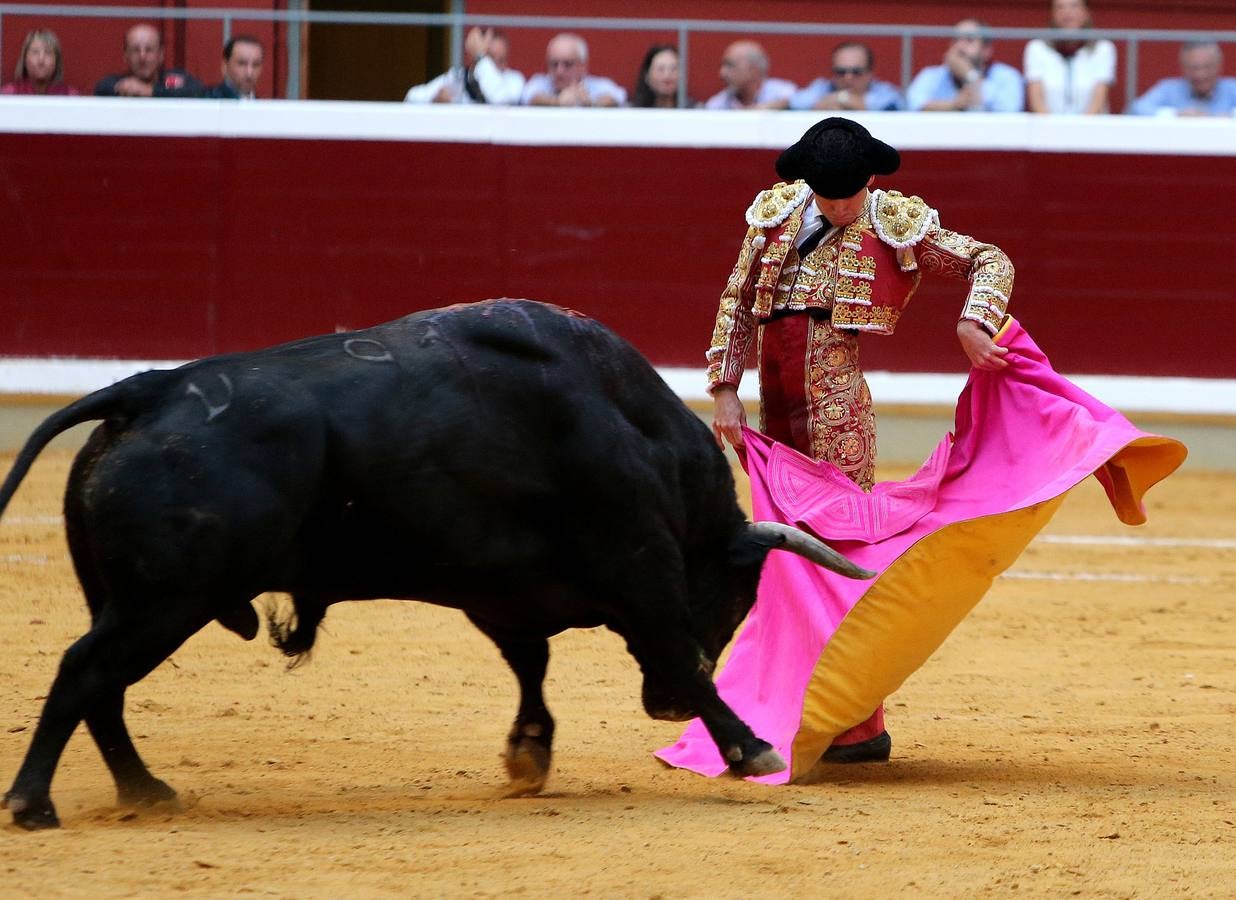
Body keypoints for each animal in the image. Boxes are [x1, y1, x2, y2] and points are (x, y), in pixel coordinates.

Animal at [0, 302, 875, 830]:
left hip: (129, 599)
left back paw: (144, 791)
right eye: (737, 597)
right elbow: (677, 656)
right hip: (164, 599)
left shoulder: (506, 591)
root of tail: (144, 394)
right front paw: (751, 749)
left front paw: (527, 755)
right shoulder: (639, 568)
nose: (658, 710)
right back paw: (34, 802)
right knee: (85, 672)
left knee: (103, 687)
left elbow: (531, 665)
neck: (634, 428)